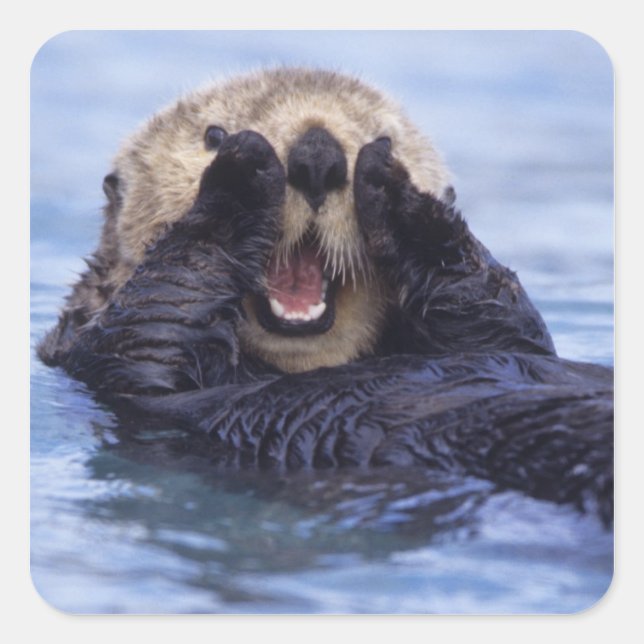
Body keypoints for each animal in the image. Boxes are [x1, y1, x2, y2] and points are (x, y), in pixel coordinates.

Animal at [38, 68, 613, 523]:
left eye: (385, 135)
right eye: (212, 134)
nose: (317, 155)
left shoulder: (505, 335)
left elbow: (502, 315)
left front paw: (400, 194)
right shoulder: (106, 356)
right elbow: (157, 315)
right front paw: (242, 172)